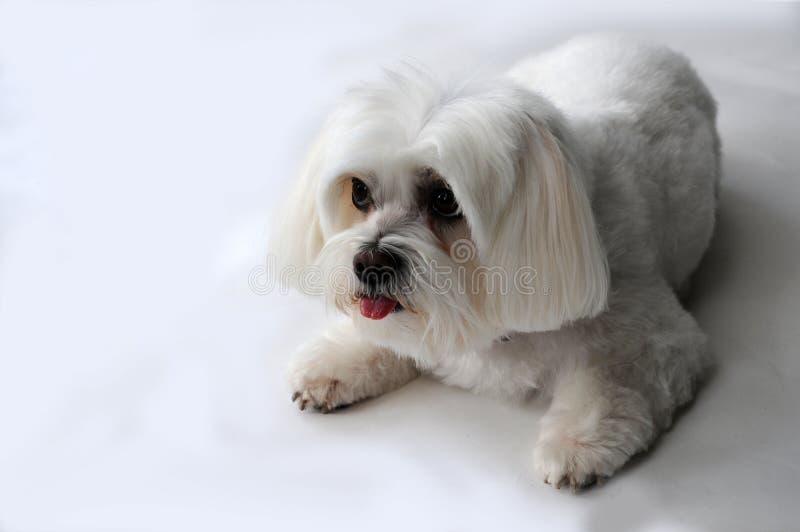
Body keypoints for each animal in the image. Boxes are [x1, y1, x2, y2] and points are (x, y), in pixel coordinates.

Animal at [272, 34, 720, 490]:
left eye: (445, 199)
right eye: (359, 191)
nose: (369, 263)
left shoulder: (655, 338)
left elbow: (614, 382)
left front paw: (577, 441)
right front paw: (337, 360)